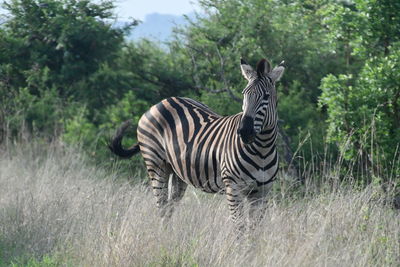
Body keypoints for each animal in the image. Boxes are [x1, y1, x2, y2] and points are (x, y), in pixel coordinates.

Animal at [109, 57, 284, 227]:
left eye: (266, 96)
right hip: (156, 165)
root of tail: (161, 102)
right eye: (244, 94)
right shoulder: (233, 187)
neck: (262, 149)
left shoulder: (262, 192)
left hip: (177, 172)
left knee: (169, 208)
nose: (243, 132)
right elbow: (239, 227)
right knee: (162, 208)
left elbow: (254, 230)